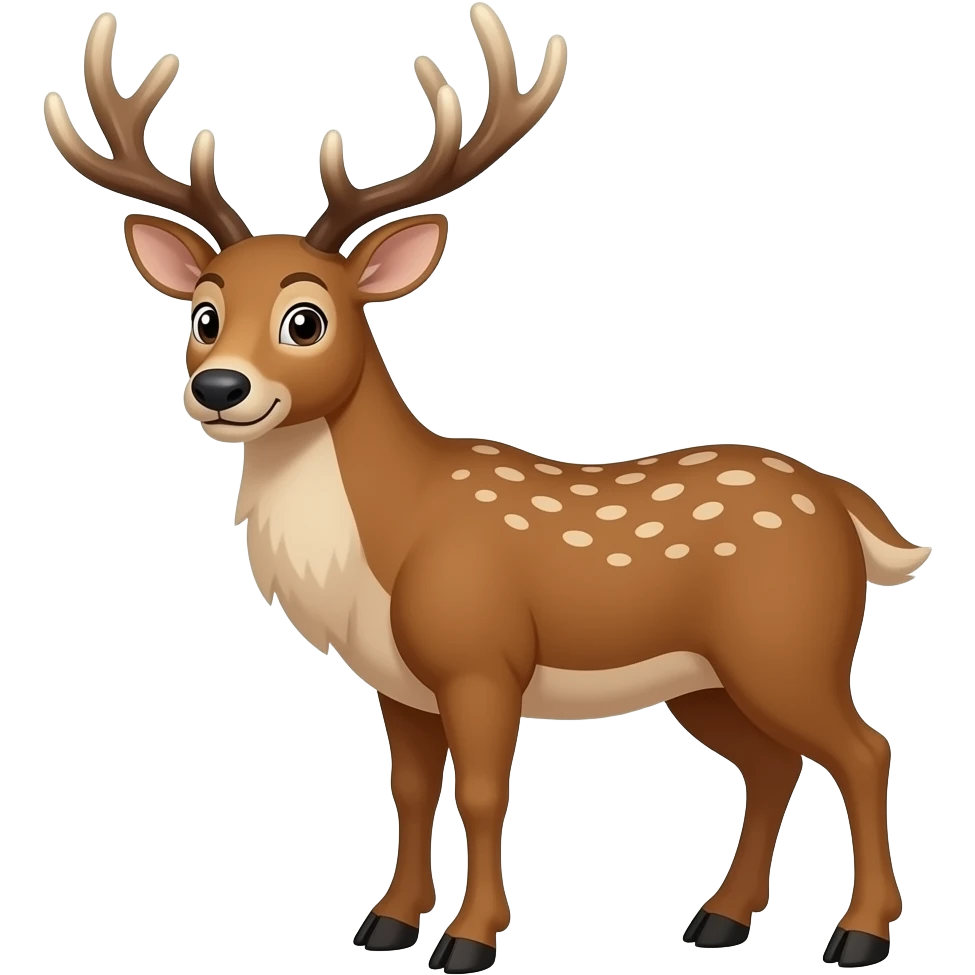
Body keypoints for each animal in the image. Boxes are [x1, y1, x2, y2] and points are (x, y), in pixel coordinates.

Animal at [43, 6, 932, 972]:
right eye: (202, 314)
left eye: (305, 318)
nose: (218, 389)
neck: (389, 542)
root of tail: (844, 504)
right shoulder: (397, 679)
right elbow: (406, 787)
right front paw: (388, 922)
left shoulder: (480, 653)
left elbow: (478, 791)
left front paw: (468, 938)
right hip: (706, 678)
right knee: (773, 764)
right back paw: (719, 920)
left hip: (787, 644)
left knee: (863, 748)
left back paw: (859, 933)